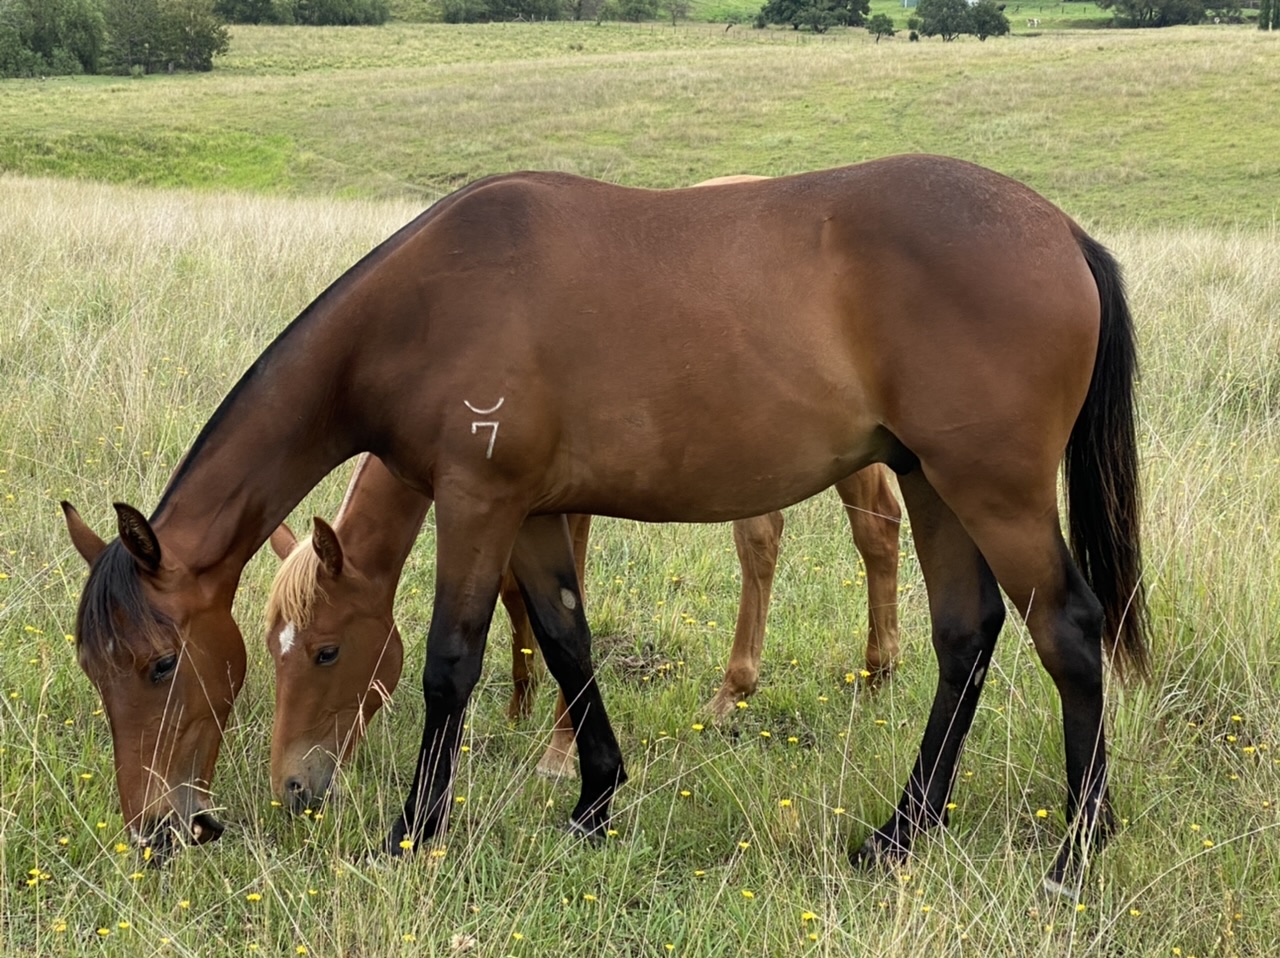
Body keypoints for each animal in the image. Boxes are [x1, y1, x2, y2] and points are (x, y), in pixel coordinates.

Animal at [263, 454, 900, 811]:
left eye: (326, 652)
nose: (291, 788)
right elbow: (514, 590)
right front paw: (520, 704)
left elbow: (567, 610)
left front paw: (559, 749)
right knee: (766, 531)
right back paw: (740, 693)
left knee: (875, 521)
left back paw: (877, 676)